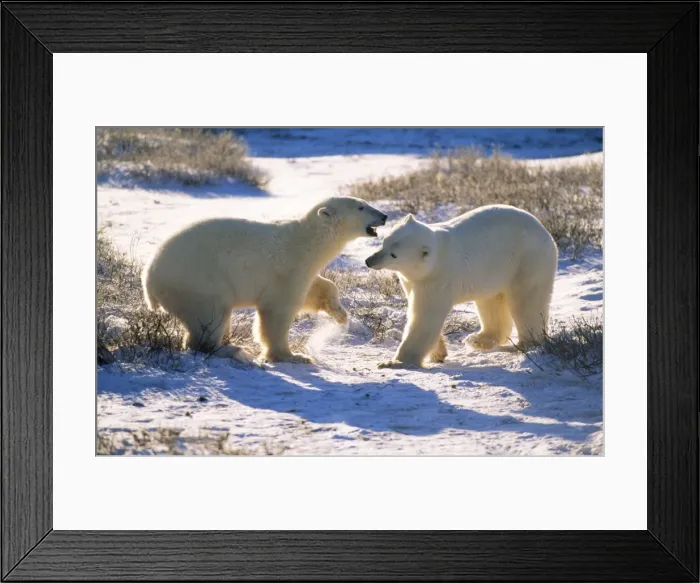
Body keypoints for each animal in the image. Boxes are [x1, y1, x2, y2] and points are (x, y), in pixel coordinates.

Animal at [143, 196, 387, 363]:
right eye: (361, 207)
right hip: (198, 280)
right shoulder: (287, 267)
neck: (307, 241)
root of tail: (148, 278)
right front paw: (292, 355)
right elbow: (277, 310)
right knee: (210, 317)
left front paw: (340, 314)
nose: (384, 215)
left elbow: (316, 288)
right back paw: (233, 351)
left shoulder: (302, 270)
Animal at [364, 205, 558, 368]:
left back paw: (522, 344)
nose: (369, 261)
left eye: (394, 254)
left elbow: (424, 317)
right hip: (492, 270)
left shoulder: (438, 278)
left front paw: (393, 362)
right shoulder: (412, 280)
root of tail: (546, 234)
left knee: (526, 302)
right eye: (384, 242)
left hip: (527, 260)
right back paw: (478, 339)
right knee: (491, 301)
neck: (435, 258)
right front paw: (439, 353)